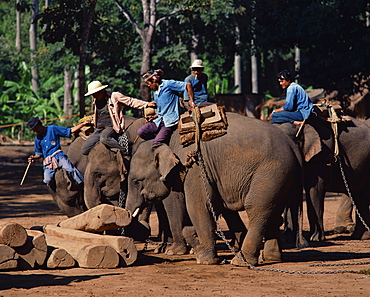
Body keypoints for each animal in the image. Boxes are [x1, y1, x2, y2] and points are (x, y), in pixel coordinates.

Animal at [125, 112, 304, 264]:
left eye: (135, 181)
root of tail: (293, 146)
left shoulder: (195, 166)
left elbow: (197, 205)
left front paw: (202, 260)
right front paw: (196, 251)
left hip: (271, 173)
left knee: (257, 209)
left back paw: (240, 261)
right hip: (283, 178)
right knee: (274, 212)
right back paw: (271, 258)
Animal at [276, 111, 370, 240]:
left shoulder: (322, 156)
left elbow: (315, 189)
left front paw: (314, 239)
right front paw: (289, 236)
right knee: (359, 194)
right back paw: (359, 237)